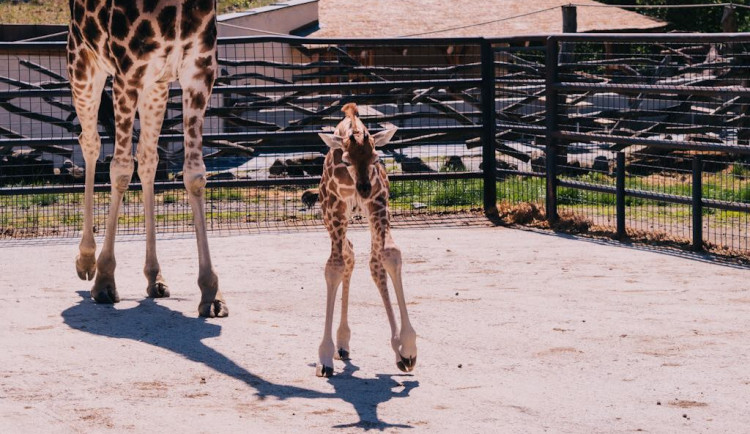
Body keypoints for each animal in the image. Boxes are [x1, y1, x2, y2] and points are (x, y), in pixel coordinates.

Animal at [68, 0, 228, 318]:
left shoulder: (199, 70)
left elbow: (194, 174)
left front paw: (211, 291)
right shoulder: (128, 72)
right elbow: (120, 170)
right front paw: (105, 278)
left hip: (156, 85)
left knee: (148, 160)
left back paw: (155, 276)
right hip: (82, 61)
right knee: (90, 142)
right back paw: (87, 259)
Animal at [316, 102, 418, 376]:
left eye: (375, 158)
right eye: (346, 160)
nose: (363, 188)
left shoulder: (377, 202)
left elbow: (388, 256)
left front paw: (406, 348)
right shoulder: (336, 207)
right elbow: (334, 266)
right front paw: (325, 356)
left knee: (367, 258)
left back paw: (346, 342)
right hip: (330, 215)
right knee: (347, 255)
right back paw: (341, 343)